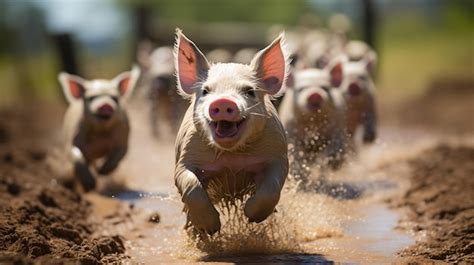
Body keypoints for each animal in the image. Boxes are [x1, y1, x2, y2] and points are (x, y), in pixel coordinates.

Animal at [172, 29, 288, 233]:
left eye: (249, 91)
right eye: (205, 91)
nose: (223, 101)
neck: (232, 158)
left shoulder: (279, 154)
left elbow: (272, 187)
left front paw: (250, 215)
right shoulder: (185, 157)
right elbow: (191, 184)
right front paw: (211, 228)